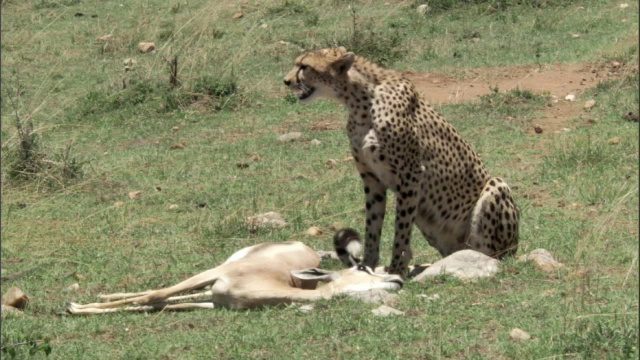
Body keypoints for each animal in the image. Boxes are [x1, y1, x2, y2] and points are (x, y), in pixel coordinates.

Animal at [284, 47, 520, 276]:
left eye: (304, 66)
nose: (286, 81)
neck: (360, 99)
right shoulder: (371, 178)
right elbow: (372, 226)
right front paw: (368, 265)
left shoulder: (410, 174)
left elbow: (401, 227)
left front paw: (397, 267)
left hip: (496, 190)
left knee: (488, 253)